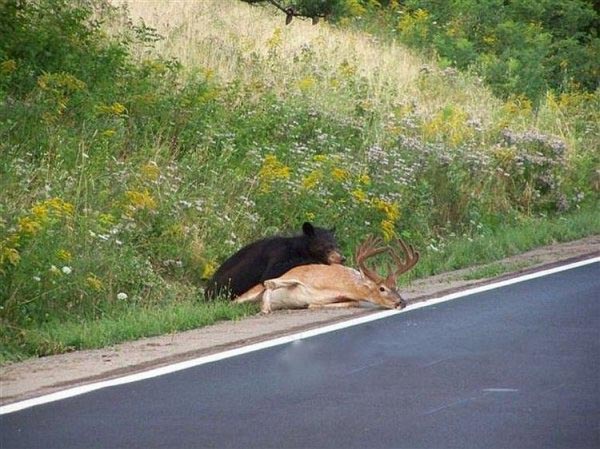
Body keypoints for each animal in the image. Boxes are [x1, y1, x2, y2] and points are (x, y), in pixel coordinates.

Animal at [204, 221, 342, 300]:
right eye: (327, 246)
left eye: (337, 244)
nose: (342, 258)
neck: (298, 247)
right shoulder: (278, 253)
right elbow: (270, 273)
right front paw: (315, 260)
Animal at [232, 236, 420, 314]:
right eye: (382, 288)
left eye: (396, 286)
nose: (401, 302)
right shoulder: (298, 274)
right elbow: (270, 282)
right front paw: (265, 308)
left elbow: (353, 303)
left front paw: (311, 305)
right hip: (247, 293)